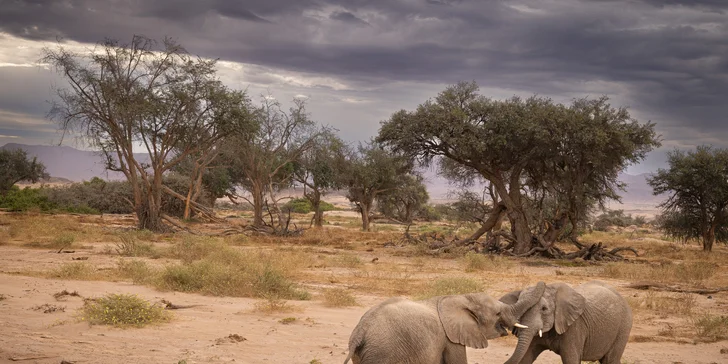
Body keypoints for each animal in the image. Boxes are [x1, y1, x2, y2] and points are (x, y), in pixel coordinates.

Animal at [344, 282, 544, 364]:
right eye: (497, 313)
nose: (541, 283)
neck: (461, 298)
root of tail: (360, 332)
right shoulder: (450, 340)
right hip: (382, 353)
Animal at [500, 280, 632, 362]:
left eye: (544, 309)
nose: (542, 283)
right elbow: (525, 357)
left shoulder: (575, 328)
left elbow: (571, 359)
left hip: (624, 326)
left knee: (610, 359)